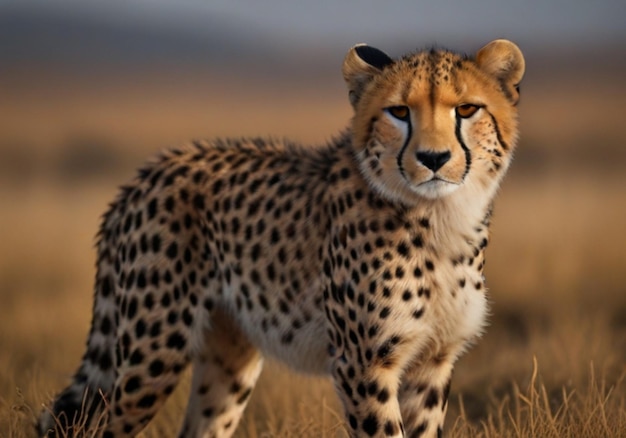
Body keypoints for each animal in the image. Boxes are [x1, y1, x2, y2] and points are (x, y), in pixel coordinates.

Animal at [39, 39, 524, 436]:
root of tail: (147, 172)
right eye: (399, 111)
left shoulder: (433, 362)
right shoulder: (363, 363)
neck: (441, 218)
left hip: (228, 359)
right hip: (152, 353)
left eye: (467, 110)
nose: (433, 158)